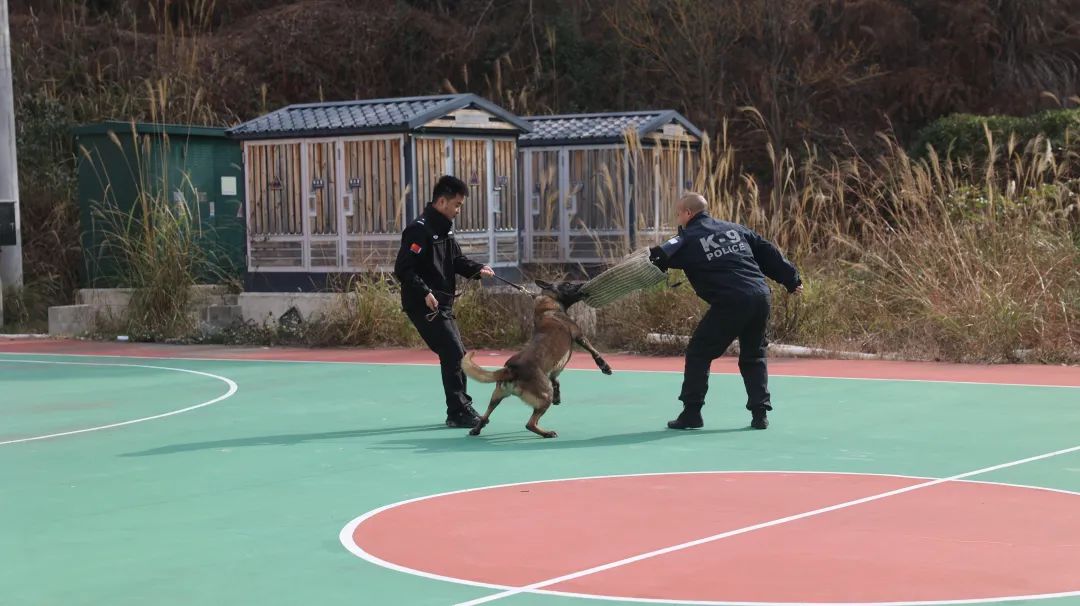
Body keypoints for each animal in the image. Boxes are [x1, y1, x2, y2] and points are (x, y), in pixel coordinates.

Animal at [462, 278, 617, 434]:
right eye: (567, 284)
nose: (583, 283)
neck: (549, 308)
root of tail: (511, 369)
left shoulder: (556, 366)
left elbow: (556, 380)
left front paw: (558, 396)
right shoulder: (579, 336)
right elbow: (594, 352)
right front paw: (604, 367)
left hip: (497, 396)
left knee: (486, 415)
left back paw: (476, 429)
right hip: (544, 396)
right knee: (530, 424)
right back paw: (547, 433)